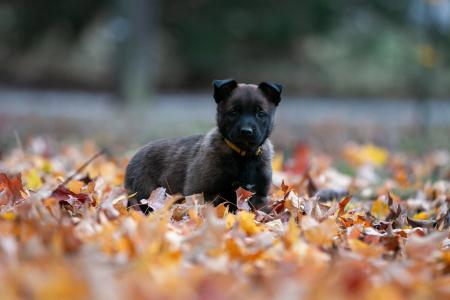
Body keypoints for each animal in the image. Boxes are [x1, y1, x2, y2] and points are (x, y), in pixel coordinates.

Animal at [125, 78, 284, 212]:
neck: (244, 155)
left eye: (260, 113)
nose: (246, 131)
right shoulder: (202, 191)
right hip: (145, 192)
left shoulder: (260, 195)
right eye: (233, 112)